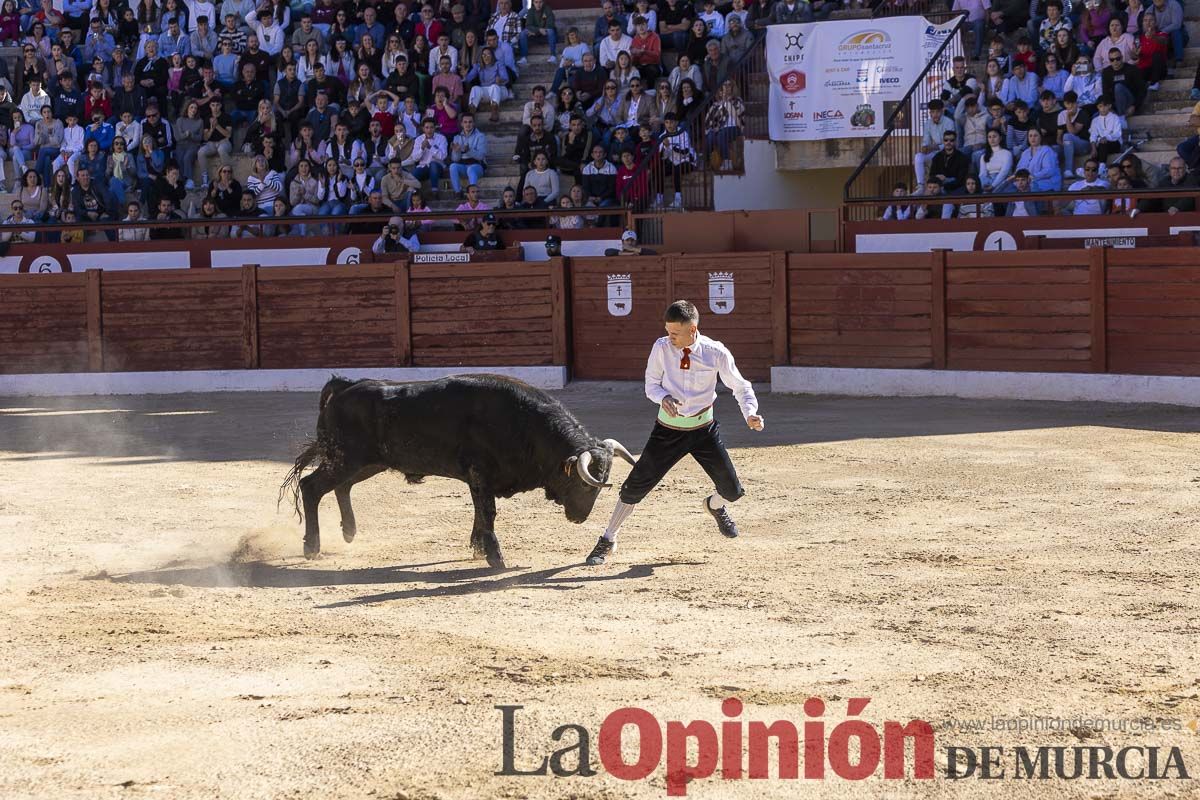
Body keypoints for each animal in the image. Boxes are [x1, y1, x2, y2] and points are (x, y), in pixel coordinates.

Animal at [280, 376, 638, 568]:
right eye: (586, 484)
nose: (579, 518)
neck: (525, 425)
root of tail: (346, 385)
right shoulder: (480, 474)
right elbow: (488, 512)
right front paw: (495, 557)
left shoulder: (478, 480)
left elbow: (480, 513)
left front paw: (478, 548)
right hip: (347, 458)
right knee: (312, 487)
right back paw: (312, 547)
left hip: (369, 462)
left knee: (342, 487)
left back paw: (349, 532)